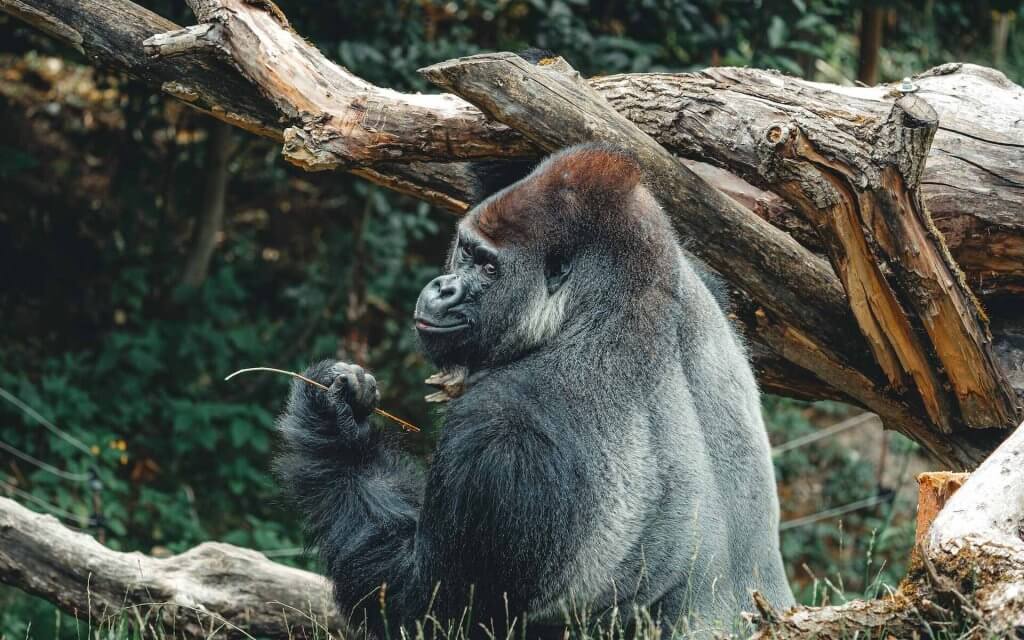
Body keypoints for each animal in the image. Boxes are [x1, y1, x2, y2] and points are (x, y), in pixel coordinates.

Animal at [276, 142, 794, 634]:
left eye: (488, 269)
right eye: (466, 251)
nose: (443, 288)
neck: (606, 304)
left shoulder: (500, 436)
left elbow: (425, 611)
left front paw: (334, 428)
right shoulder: (696, 274)